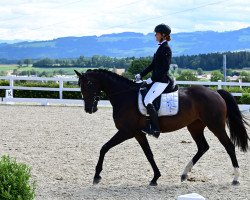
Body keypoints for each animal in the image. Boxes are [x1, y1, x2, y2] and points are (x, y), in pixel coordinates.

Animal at [74, 68, 250, 186]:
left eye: (88, 84)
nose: (89, 109)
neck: (125, 96)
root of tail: (216, 92)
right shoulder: (138, 133)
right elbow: (148, 154)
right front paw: (155, 177)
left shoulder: (126, 131)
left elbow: (104, 148)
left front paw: (97, 176)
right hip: (195, 126)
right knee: (203, 147)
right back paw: (184, 174)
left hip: (216, 125)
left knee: (229, 146)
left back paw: (235, 178)